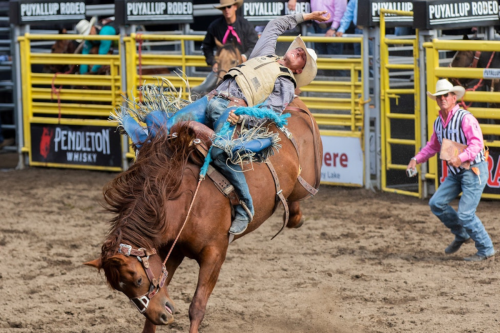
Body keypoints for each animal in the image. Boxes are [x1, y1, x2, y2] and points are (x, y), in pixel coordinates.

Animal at [84, 97, 322, 332]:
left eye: (138, 281)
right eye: (120, 289)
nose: (162, 316)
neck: (183, 201)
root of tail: (296, 104)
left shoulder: (215, 254)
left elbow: (197, 306)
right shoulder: (172, 251)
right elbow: (163, 285)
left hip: (307, 177)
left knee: (301, 192)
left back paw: (295, 215)